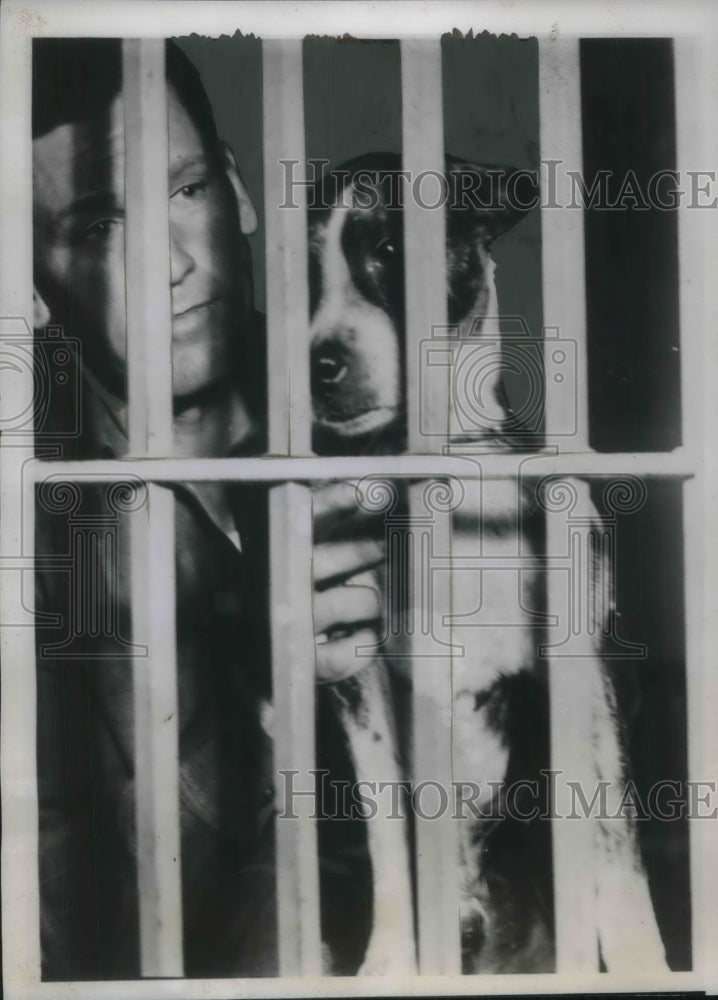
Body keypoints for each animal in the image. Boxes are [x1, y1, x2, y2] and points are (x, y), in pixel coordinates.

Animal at [306, 156, 668, 976]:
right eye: (299, 274)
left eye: (393, 251)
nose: (320, 365)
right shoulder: (359, 675)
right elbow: (386, 825)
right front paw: (388, 962)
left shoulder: (586, 666)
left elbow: (616, 840)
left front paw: (646, 963)